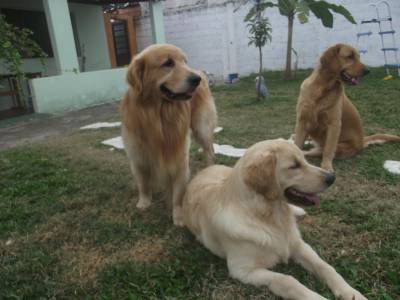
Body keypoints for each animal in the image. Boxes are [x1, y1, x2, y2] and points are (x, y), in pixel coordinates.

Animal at [121, 43, 217, 224]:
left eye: (185, 61)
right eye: (168, 63)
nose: (196, 80)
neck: (158, 116)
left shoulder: (179, 155)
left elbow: (178, 192)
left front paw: (178, 215)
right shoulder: (137, 154)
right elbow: (143, 182)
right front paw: (144, 202)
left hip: (201, 128)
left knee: (209, 150)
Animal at [183, 140, 368, 300]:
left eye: (304, 160)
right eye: (294, 166)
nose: (332, 177)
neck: (271, 217)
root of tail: (205, 169)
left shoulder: (299, 245)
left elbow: (326, 267)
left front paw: (350, 292)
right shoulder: (242, 269)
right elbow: (287, 280)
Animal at [294, 43, 400, 172]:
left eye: (358, 57)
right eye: (350, 56)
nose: (367, 71)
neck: (322, 89)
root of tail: (362, 141)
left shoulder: (334, 124)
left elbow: (328, 150)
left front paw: (326, 166)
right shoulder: (302, 120)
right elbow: (297, 144)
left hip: (339, 146)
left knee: (316, 150)